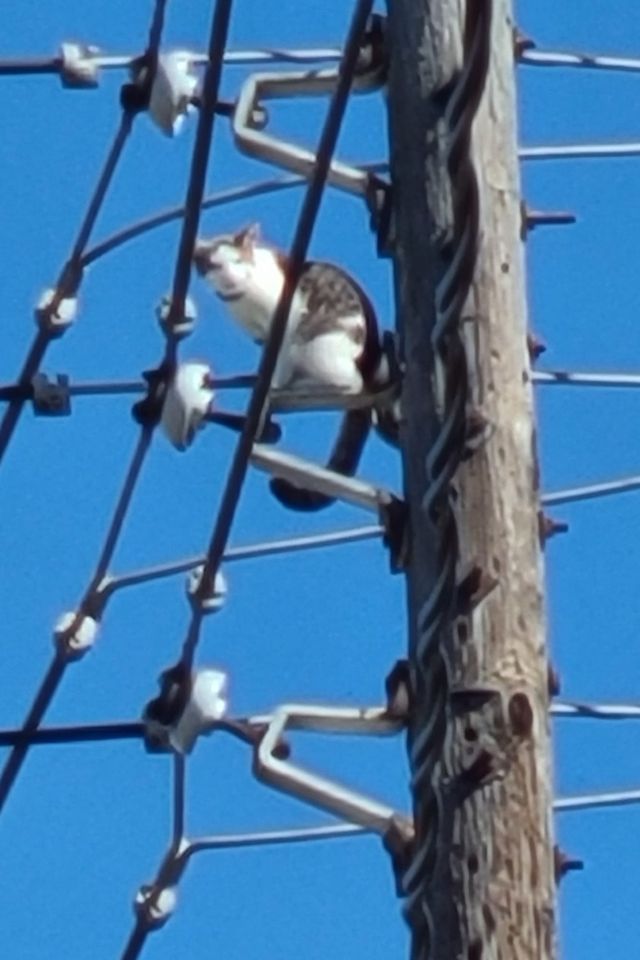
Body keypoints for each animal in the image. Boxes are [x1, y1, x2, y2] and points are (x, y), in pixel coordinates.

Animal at [191, 223, 390, 510]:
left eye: (238, 261)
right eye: (215, 265)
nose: (230, 279)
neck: (245, 302)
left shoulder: (286, 322)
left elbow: (281, 360)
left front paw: (274, 383)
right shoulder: (261, 337)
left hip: (318, 341)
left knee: (350, 384)